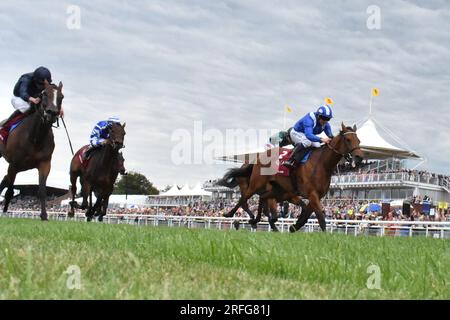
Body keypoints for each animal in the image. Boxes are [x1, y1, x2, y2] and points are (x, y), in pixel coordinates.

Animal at [0, 80, 63, 220]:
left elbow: (42, 190)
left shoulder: (45, 163)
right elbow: (10, 190)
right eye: (44, 94)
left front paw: (44, 216)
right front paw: (5, 211)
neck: (35, 138)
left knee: (5, 179)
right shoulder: (14, 163)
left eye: (61, 97)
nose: (52, 113)